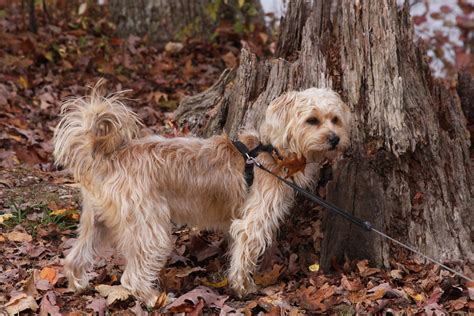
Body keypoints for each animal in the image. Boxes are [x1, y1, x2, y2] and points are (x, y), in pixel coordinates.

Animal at [52, 81, 352, 306]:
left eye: (335, 120)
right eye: (312, 120)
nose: (335, 138)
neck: (273, 152)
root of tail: (107, 157)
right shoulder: (252, 223)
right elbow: (244, 254)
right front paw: (243, 288)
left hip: (95, 223)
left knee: (74, 257)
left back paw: (78, 284)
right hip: (150, 229)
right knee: (132, 277)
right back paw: (152, 299)